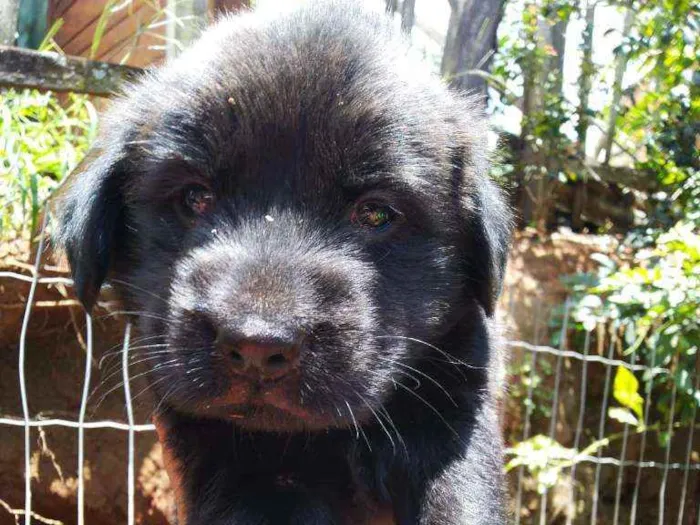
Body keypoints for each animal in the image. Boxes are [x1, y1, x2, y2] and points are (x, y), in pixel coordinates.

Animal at [54, 3, 512, 520]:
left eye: (376, 213)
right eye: (194, 197)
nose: (257, 347)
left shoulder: (456, 398)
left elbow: (459, 492)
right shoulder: (231, 452)